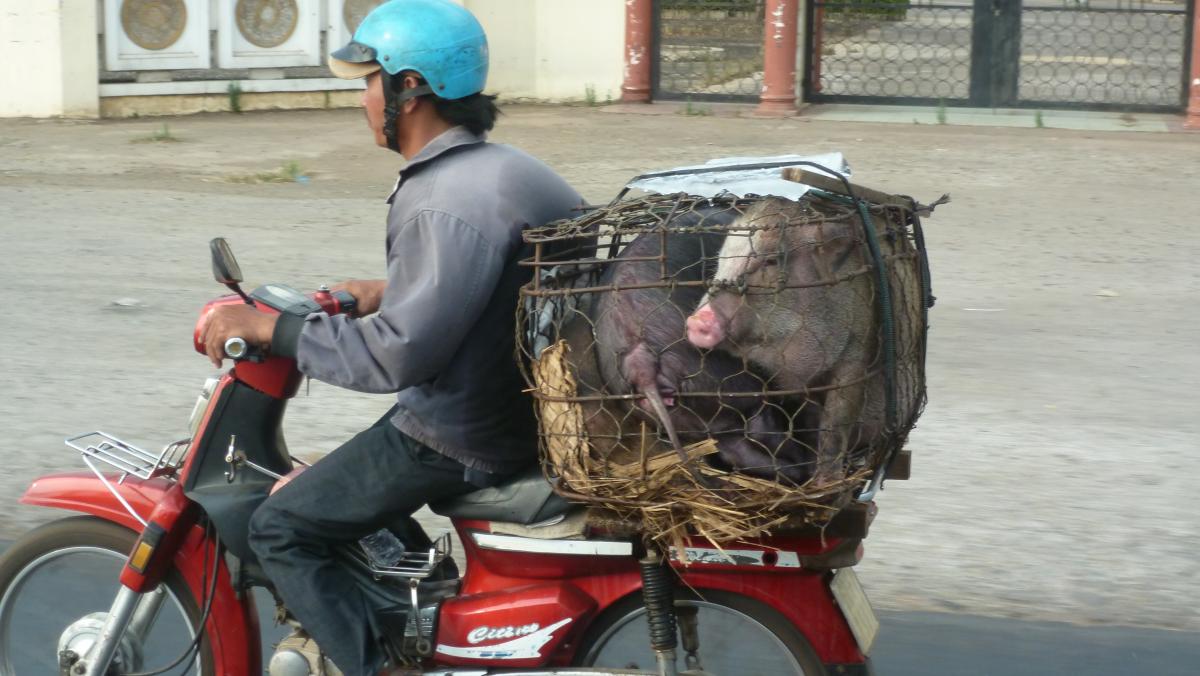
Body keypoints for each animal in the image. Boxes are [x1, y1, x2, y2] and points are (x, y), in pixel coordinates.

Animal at [686, 196, 925, 486]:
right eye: (720, 262)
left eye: (771, 261)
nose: (696, 320)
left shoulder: (859, 349)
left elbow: (837, 420)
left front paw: (824, 483)